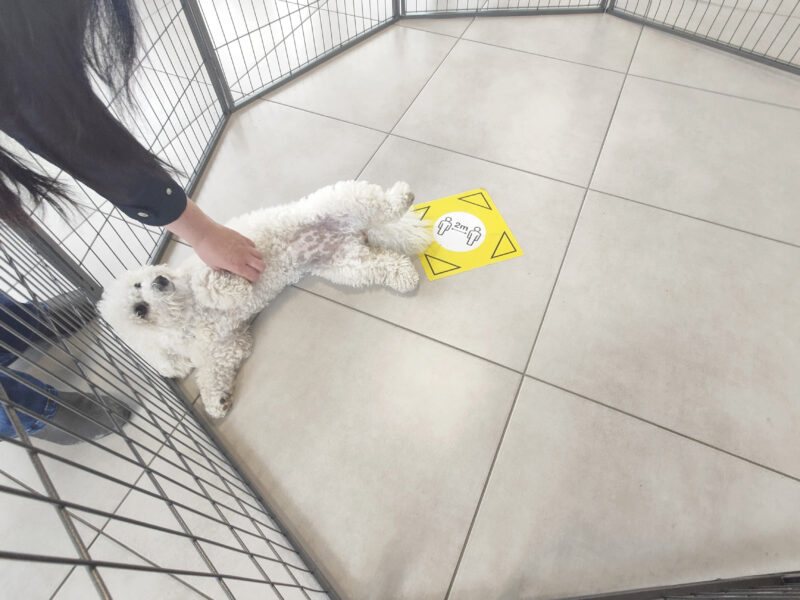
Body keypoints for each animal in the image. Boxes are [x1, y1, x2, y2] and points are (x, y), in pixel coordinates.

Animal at [103, 182, 434, 418]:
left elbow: (209, 282)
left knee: (377, 202)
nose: (160, 280)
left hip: (338, 201)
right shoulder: (227, 346)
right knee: (385, 263)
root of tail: (356, 231)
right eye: (139, 309)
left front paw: (231, 290)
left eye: (139, 283)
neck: (188, 316)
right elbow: (210, 374)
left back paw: (400, 196)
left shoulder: (209, 265)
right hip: (347, 264)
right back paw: (404, 275)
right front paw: (216, 402)